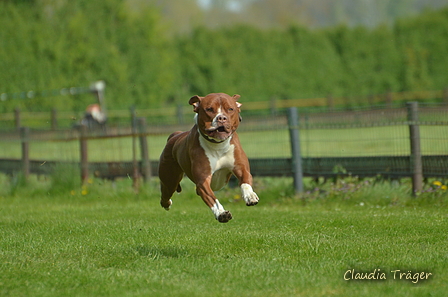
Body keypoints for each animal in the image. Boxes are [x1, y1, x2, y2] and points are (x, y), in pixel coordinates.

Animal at [159, 92, 260, 222]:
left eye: (230, 109)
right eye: (209, 109)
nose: (221, 118)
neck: (218, 145)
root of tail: (175, 135)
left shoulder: (240, 167)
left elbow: (245, 182)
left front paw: (250, 196)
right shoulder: (203, 180)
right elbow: (212, 199)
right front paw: (221, 213)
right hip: (169, 178)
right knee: (165, 194)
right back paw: (167, 203)